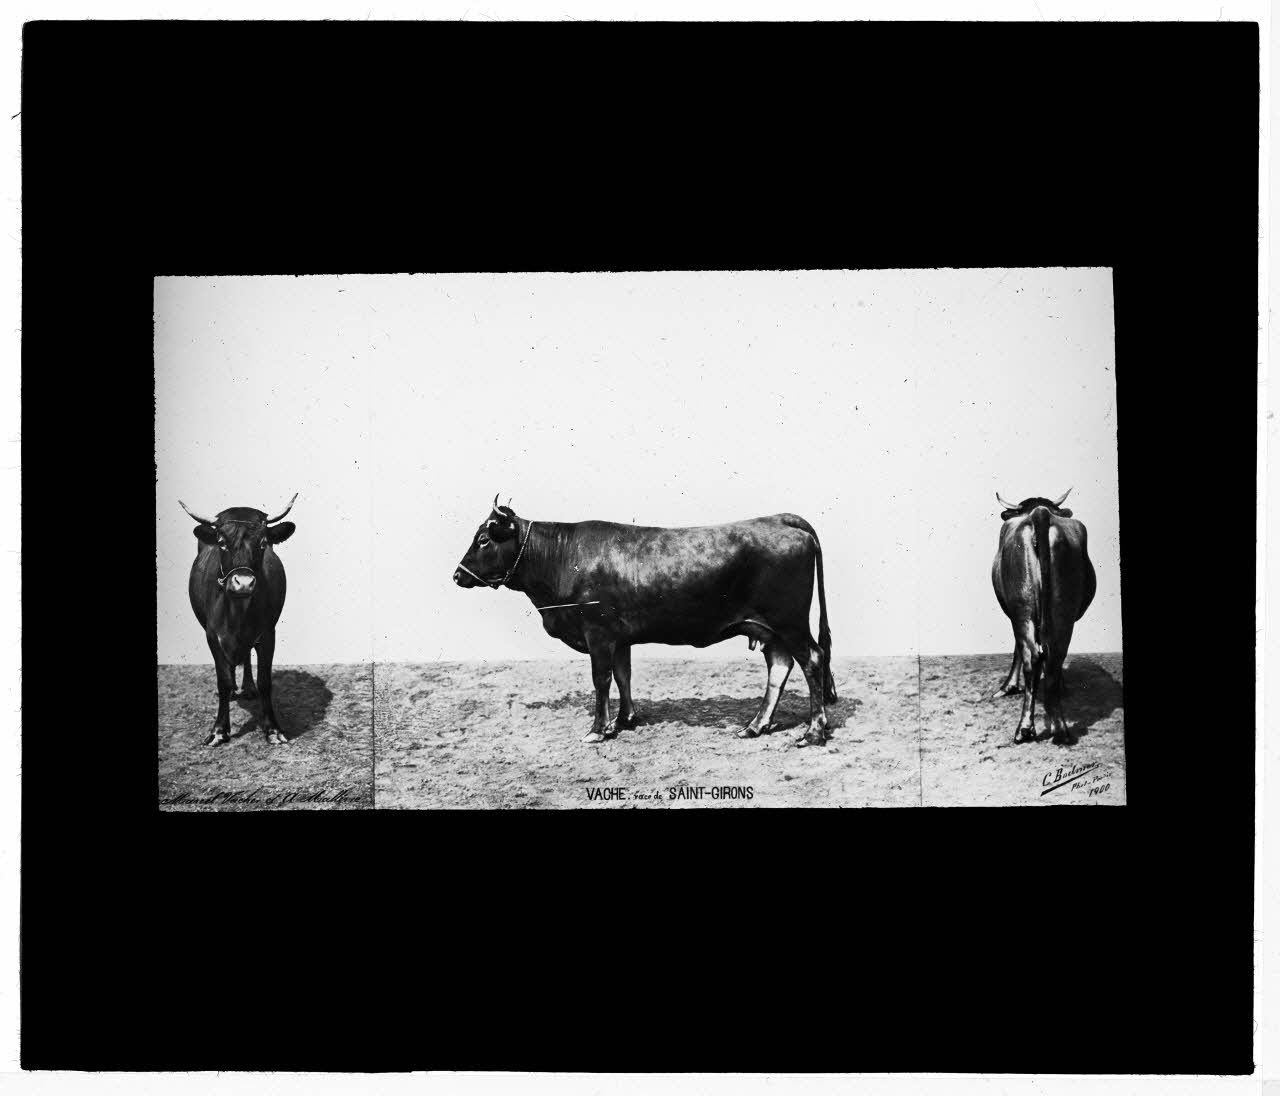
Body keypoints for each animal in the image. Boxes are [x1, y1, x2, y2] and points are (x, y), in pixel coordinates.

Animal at [179, 494, 297, 747]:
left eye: (263, 543)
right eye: (222, 542)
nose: (243, 583)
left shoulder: (268, 633)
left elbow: (265, 681)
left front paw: (272, 729)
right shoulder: (212, 636)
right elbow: (222, 681)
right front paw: (219, 731)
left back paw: (247, 688)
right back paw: (236, 689)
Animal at [453, 497, 839, 747]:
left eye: (483, 539)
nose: (457, 575)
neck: (563, 558)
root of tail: (780, 519)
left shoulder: (597, 632)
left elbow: (601, 679)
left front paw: (598, 729)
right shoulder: (619, 637)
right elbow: (623, 674)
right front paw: (623, 721)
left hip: (789, 621)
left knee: (812, 660)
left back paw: (813, 732)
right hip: (770, 628)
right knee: (780, 666)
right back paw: (756, 726)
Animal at [991, 489, 1096, 745]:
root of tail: (1040, 512)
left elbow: (1017, 649)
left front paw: (1008, 686)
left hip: (1023, 608)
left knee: (1032, 655)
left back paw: (1025, 729)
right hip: (1062, 611)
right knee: (1053, 656)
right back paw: (1059, 727)